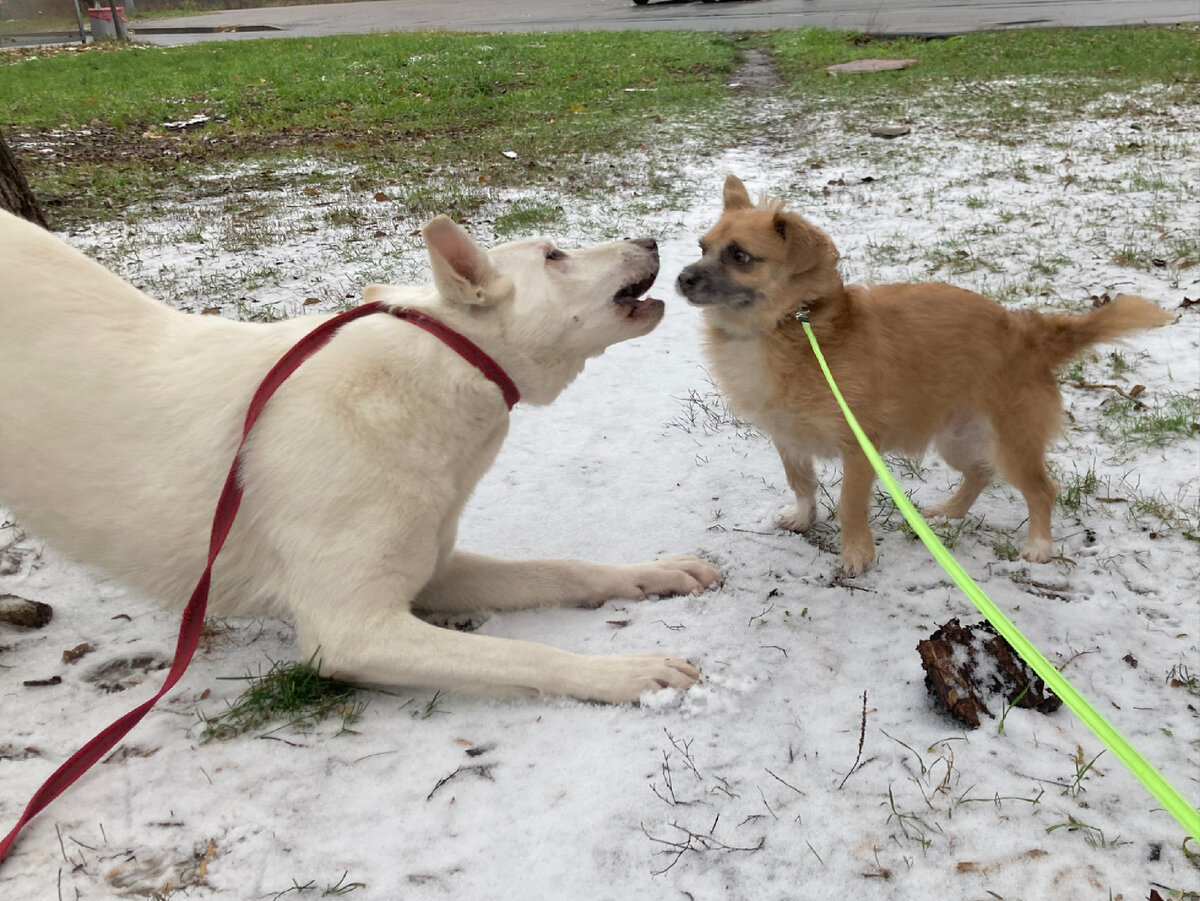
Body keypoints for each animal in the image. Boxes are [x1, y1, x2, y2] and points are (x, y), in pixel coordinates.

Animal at [0, 209, 720, 705]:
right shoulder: (353, 630)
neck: (444, 366)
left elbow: (563, 569)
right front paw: (625, 673)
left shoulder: (432, 569)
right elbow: (522, 654)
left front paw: (653, 573)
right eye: (553, 254)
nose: (652, 241)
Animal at [681, 172, 1176, 573]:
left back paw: (1039, 546)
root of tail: (1028, 333)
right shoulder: (787, 438)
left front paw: (856, 554)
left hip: (1012, 442)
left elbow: (849, 505)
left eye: (740, 256)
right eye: (703, 248)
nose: (682, 279)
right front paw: (803, 518)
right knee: (979, 474)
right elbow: (801, 483)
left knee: (1041, 489)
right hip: (956, 438)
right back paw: (951, 512)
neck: (793, 325)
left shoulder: (859, 448)